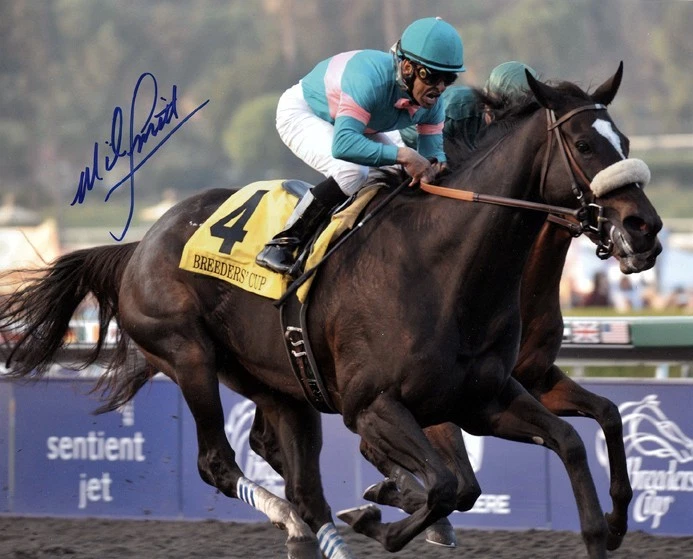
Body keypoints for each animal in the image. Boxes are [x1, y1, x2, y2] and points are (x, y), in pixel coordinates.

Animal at [0, 65, 661, 559]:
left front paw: (607, 528)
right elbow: (448, 486)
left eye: (627, 144)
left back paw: (310, 528)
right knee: (222, 463)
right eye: (584, 144)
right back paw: (302, 522)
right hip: (188, 356)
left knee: (297, 476)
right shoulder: (374, 407)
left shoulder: (487, 397)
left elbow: (573, 440)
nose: (646, 229)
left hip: (280, 383)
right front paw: (377, 515)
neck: (446, 270)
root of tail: (142, 244)